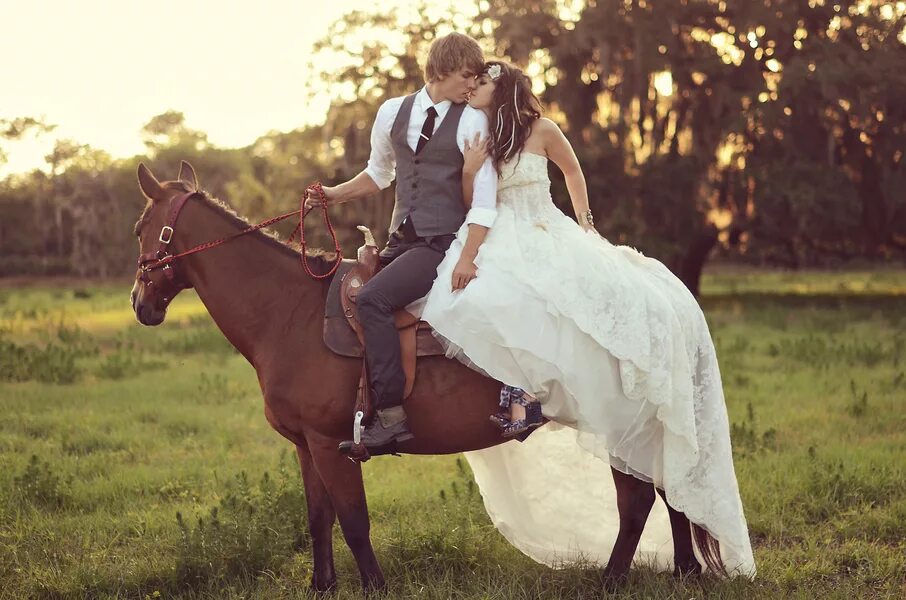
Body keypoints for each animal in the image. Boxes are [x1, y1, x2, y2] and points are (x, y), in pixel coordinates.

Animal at [131, 162, 720, 592]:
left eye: (140, 228)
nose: (141, 305)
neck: (289, 312)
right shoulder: (305, 445)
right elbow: (319, 518)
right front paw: (322, 586)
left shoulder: (330, 443)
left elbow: (353, 520)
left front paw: (374, 587)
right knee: (670, 493)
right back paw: (685, 572)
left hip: (618, 428)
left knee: (637, 502)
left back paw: (612, 581)